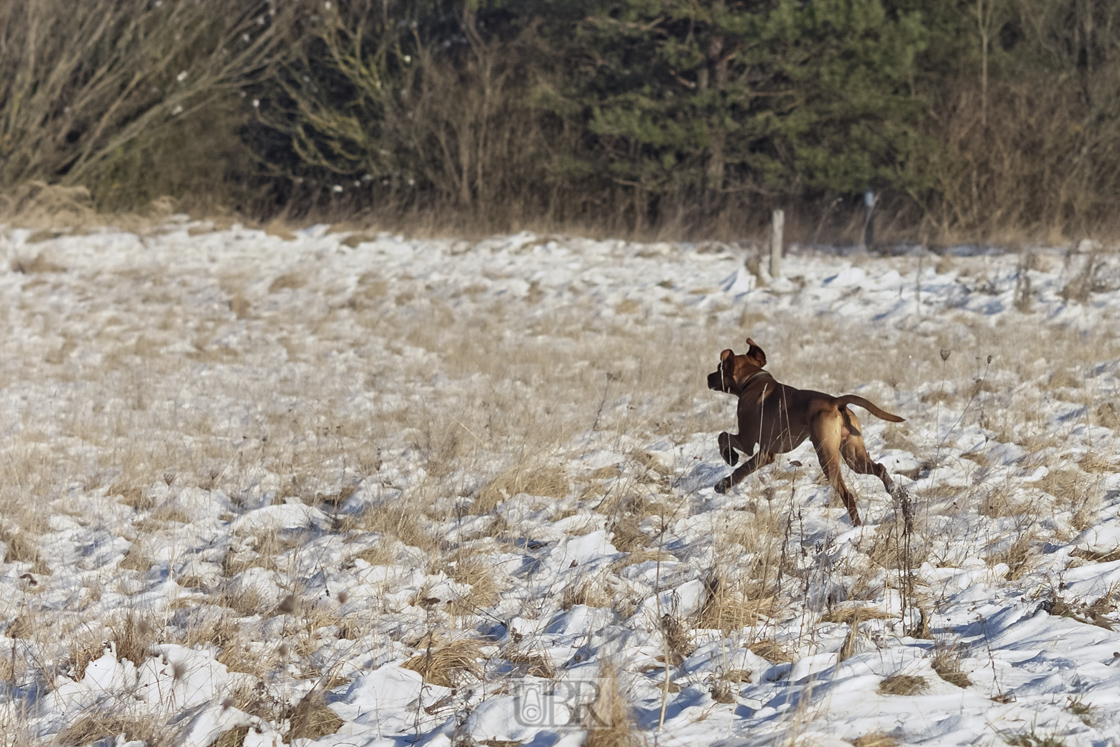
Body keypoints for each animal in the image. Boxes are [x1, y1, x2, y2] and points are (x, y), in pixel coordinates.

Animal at [712, 338, 904, 526]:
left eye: (719, 368)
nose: (708, 377)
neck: (752, 380)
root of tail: (836, 402)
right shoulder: (766, 454)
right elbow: (742, 470)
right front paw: (724, 484)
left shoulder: (747, 442)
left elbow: (723, 437)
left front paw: (729, 457)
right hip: (854, 457)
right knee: (879, 467)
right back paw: (891, 488)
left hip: (827, 458)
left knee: (847, 494)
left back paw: (857, 525)